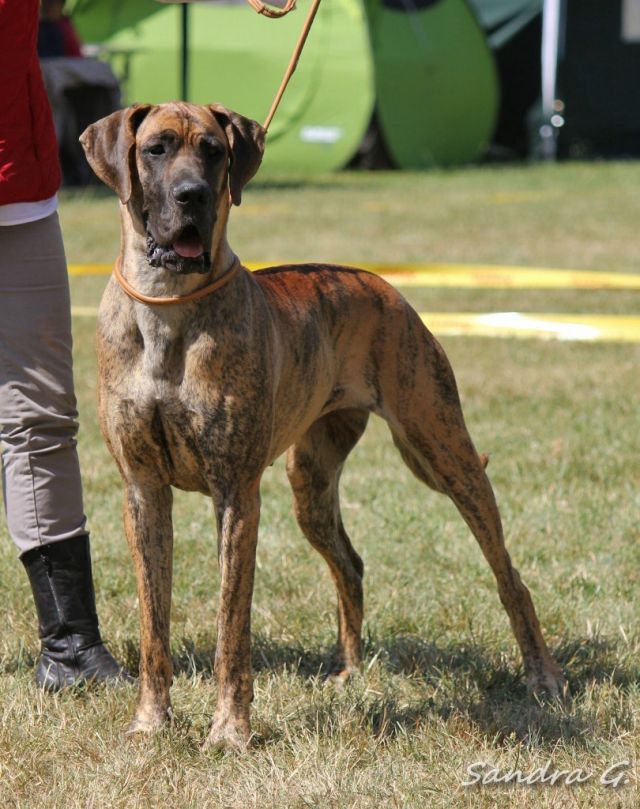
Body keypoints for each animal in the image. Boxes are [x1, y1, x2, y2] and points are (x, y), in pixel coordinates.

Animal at [79, 102, 563, 751]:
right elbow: (154, 623)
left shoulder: (237, 496)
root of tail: (382, 283)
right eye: (156, 149)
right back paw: (350, 672)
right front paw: (151, 723)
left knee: (509, 574)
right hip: (310, 482)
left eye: (212, 150)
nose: (193, 195)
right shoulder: (143, 491)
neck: (167, 306)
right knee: (350, 565)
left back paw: (542, 675)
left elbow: (231, 627)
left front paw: (229, 732)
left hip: (445, 451)